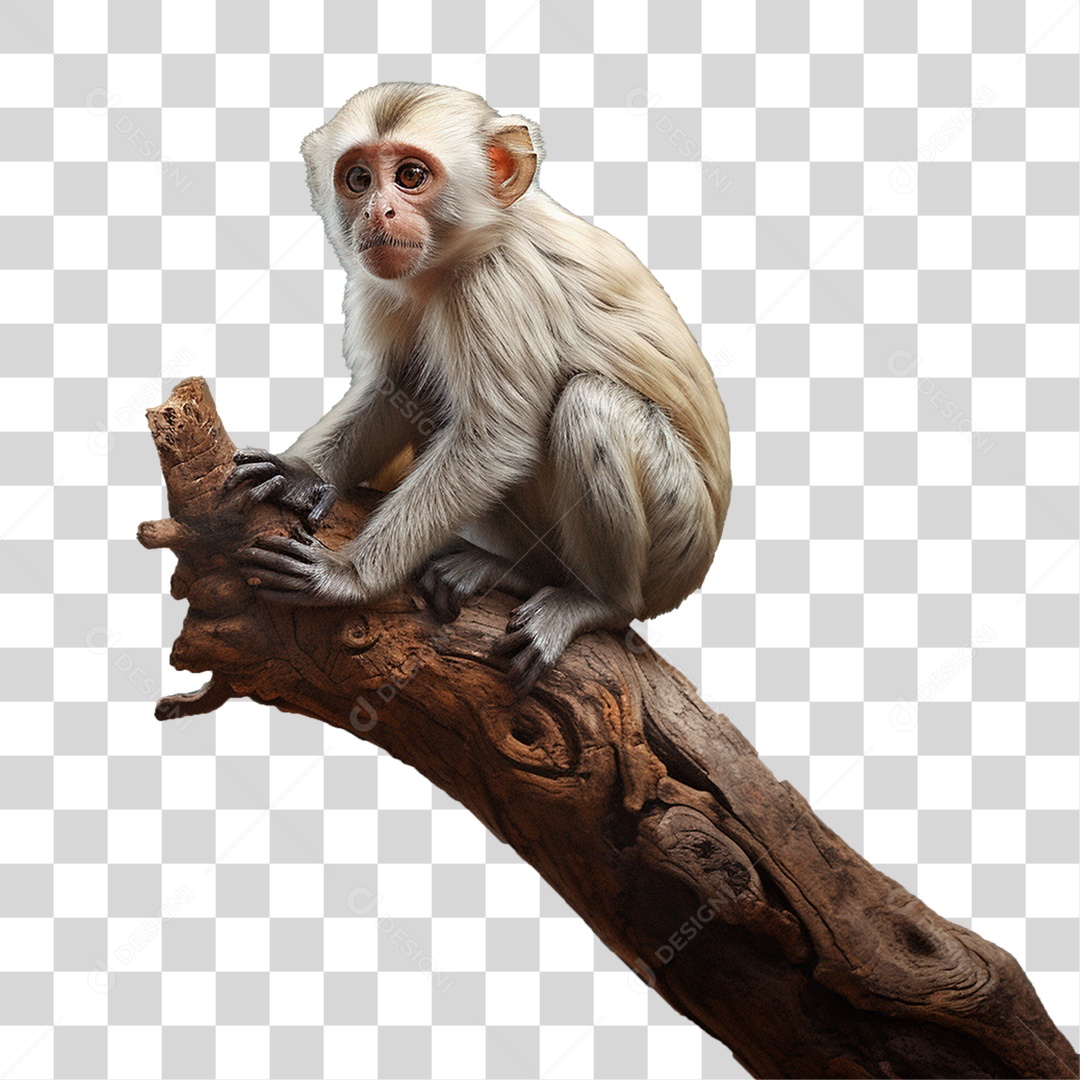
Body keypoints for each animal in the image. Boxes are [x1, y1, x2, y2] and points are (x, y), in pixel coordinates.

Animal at [229, 82, 732, 697]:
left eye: (411, 176)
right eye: (358, 179)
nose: (377, 211)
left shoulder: (497, 282)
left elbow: (496, 440)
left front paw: (348, 577)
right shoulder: (389, 282)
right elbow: (399, 389)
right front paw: (301, 473)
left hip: (678, 539)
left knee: (591, 404)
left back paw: (594, 601)